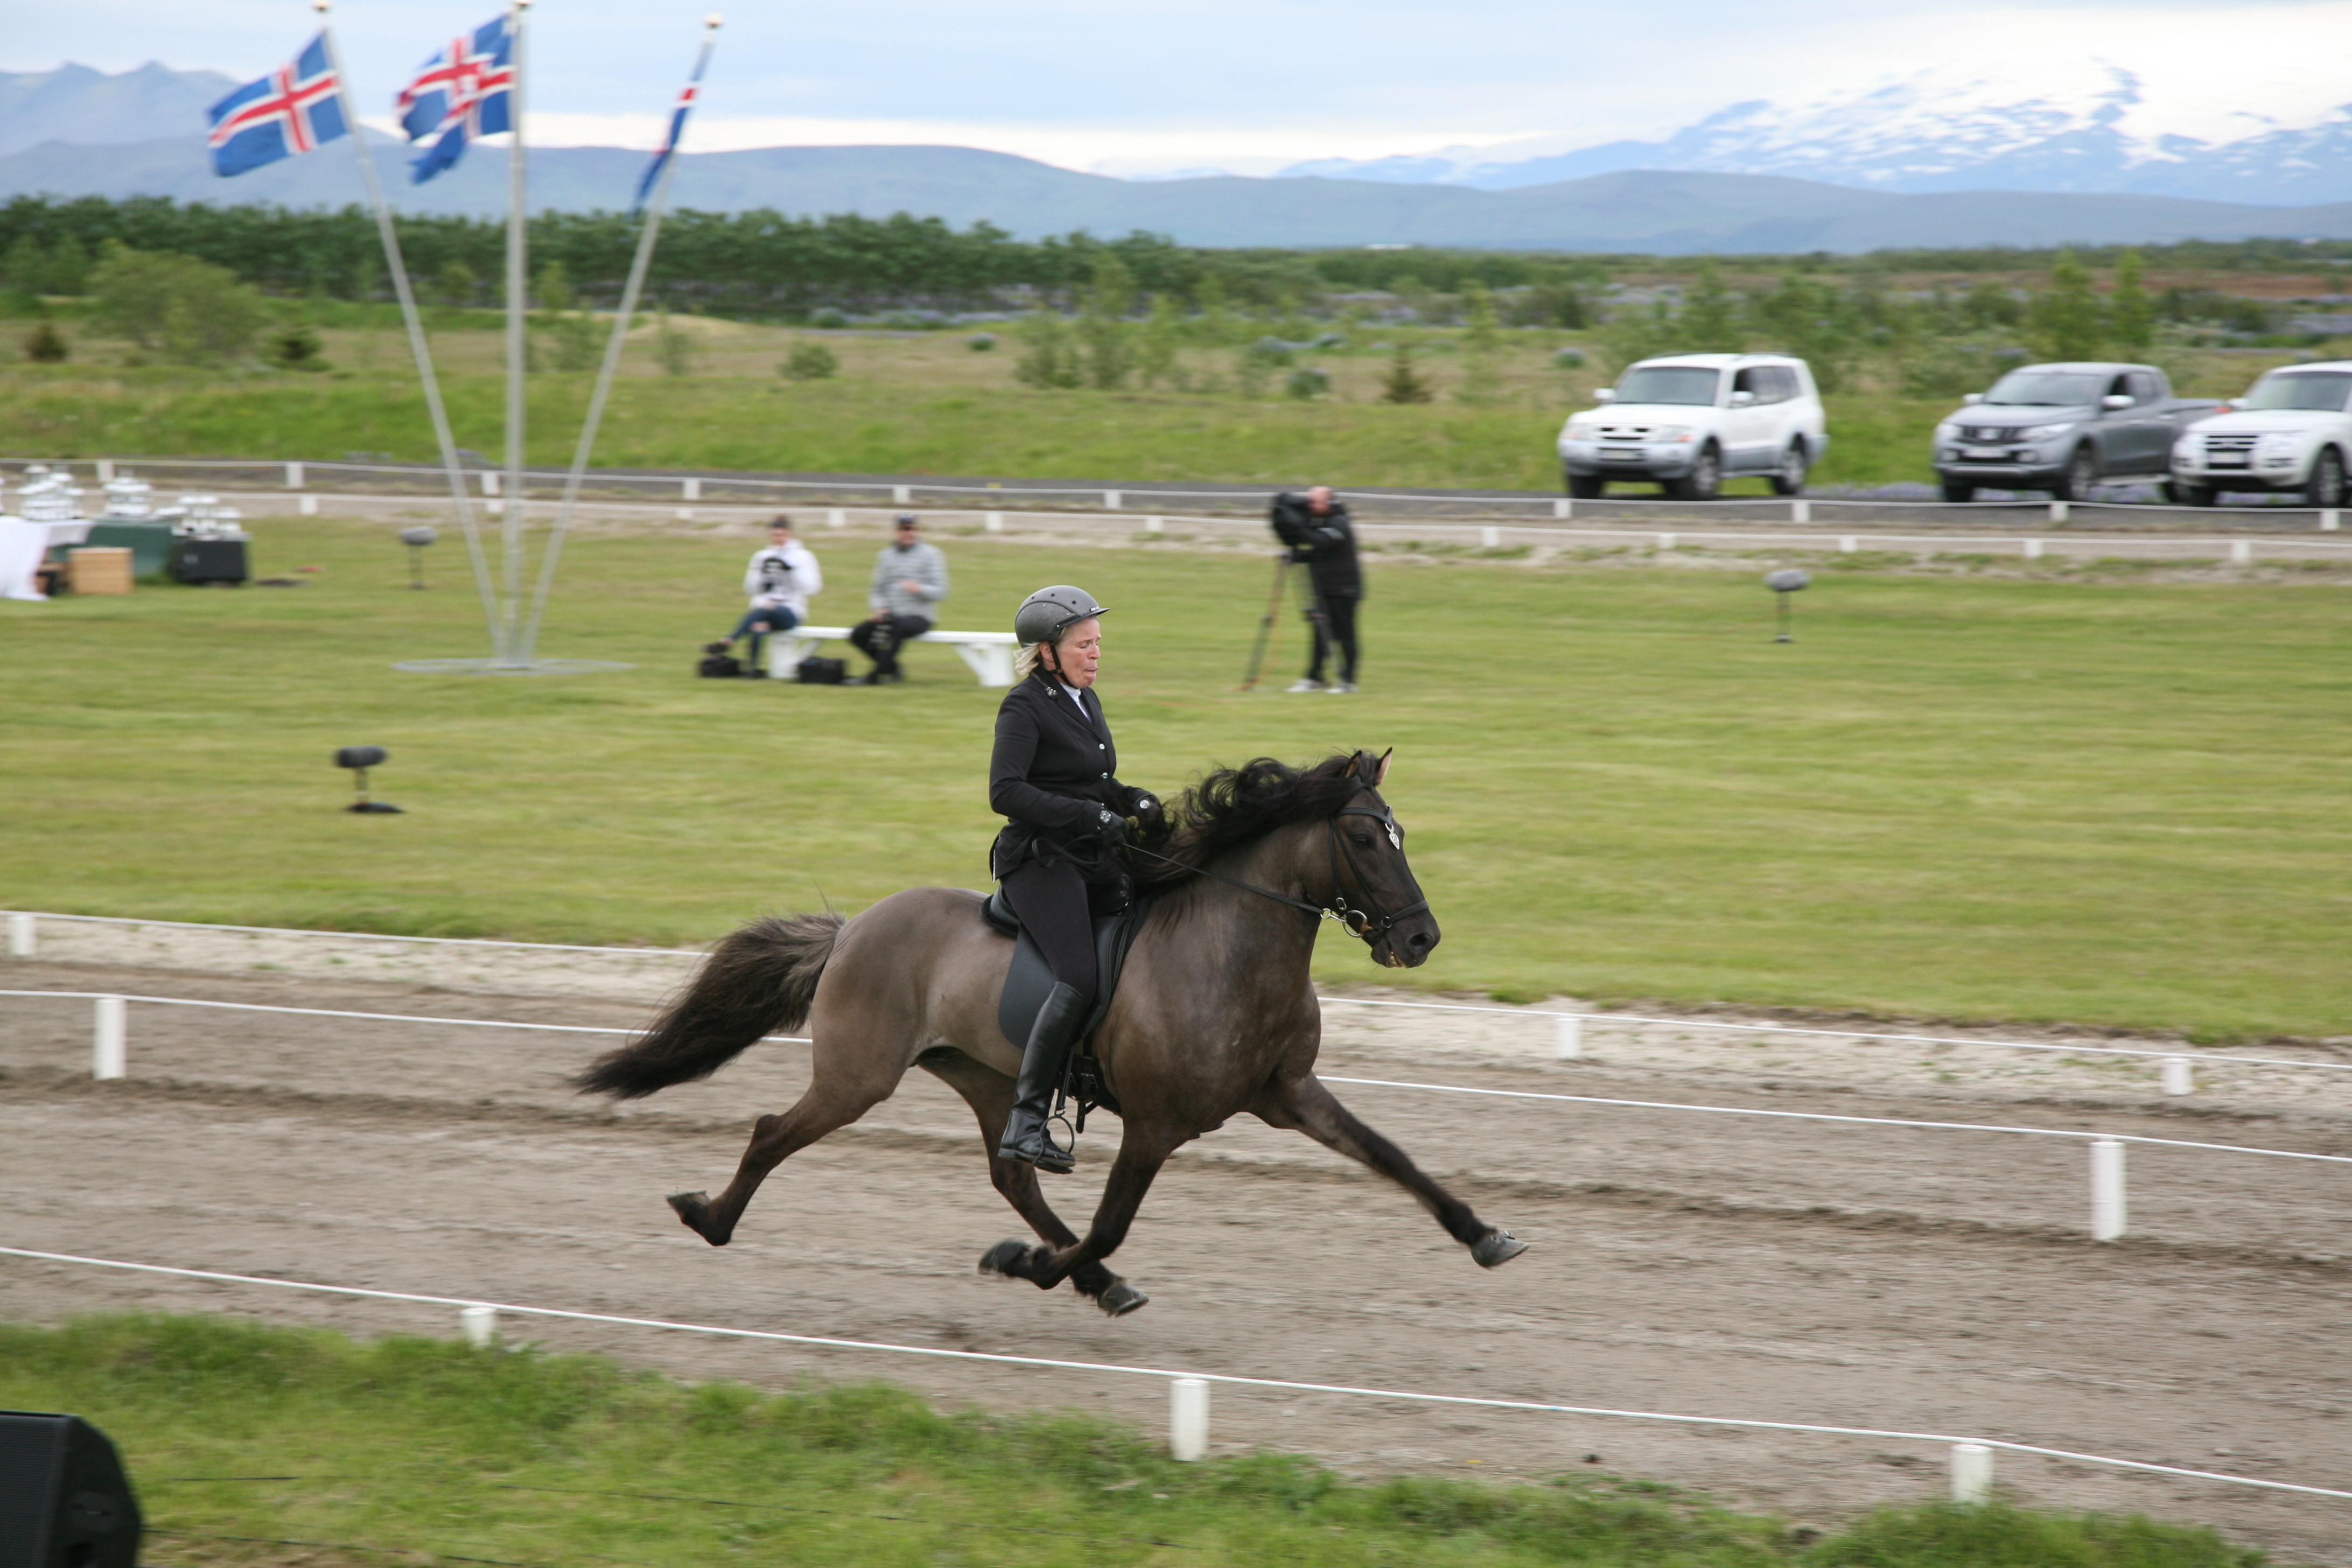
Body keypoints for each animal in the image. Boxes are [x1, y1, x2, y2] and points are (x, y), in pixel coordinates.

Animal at [573, 749, 1526, 1316]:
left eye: (1399, 831)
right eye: (1365, 836)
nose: (1421, 938)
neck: (1231, 951)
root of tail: (852, 930)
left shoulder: (1287, 1093)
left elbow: (1391, 1155)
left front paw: (1486, 1236)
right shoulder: (1155, 1125)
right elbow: (1111, 1223)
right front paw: (1024, 1267)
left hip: (987, 1076)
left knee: (1013, 1176)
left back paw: (1090, 1279)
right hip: (858, 1076)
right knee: (775, 1132)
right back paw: (708, 1217)